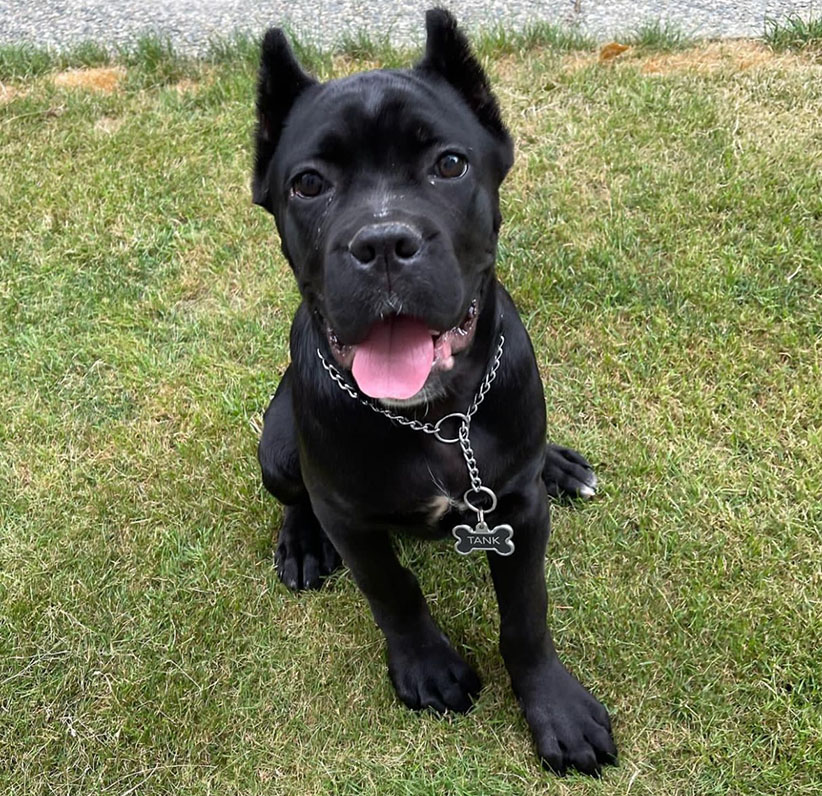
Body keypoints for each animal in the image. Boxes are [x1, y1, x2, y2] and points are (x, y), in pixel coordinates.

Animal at [254, 7, 620, 776]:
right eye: (308, 184)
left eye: (449, 164)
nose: (384, 243)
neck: (439, 418)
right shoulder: (352, 521)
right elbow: (394, 592)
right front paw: (427, 668)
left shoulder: (519, 514)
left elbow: (526, 616)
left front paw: (556, 709)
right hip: (276, 446)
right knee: (295, 491)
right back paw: (301, 544)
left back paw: (561, 465)